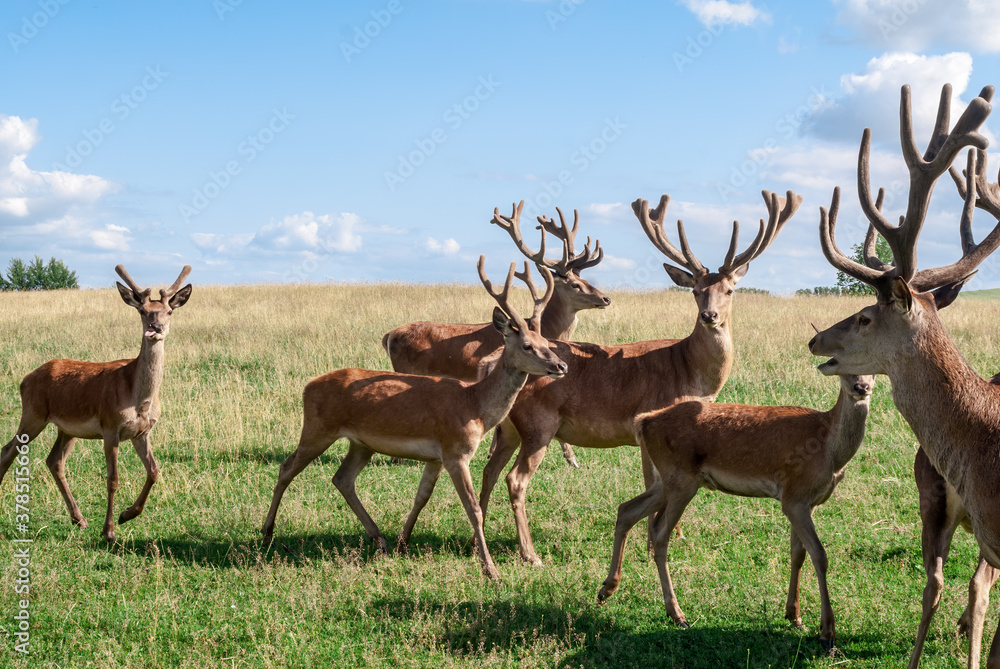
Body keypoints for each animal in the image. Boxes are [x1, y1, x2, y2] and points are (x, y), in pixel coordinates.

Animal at [0, 264, 193, 542]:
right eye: (143, 311)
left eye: (169, 311)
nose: (156, 327)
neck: (140, 399)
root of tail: (25, 379)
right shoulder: (110, 426)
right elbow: (113, 479)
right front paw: (109, 530)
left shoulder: (142, 432)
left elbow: (154, 471)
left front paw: (127, 515)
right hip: (33, 414)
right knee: (8, 450)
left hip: (66, 428)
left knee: (54, 460)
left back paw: (79, 519)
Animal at [261, 257, 568, 579]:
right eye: (527, 346)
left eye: (546, 341)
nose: (561, 366)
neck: (475, 406)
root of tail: (307, 386)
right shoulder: (455, 451)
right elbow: (473, 509)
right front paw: (491, 570)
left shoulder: (434, 457)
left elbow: (422, 496)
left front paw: (402, 542)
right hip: (317, 428)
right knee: (287, 467)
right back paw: (267, 532)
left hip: (361, 443)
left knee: (342, 478)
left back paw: (379, 538)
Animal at [382, 202, 607, 468]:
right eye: (575, 284)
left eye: (585, 279)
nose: (605, 298)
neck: (545, 327)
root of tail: (389, 335)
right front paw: (571, 458)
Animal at [479, 188, 801, 566]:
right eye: (695, 290)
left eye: (730, 290)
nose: (709, 315)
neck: (689, 372)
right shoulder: (649, 421)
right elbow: (652, 483)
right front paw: (655, 542)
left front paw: (674, 535)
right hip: (538, 424)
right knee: (515, 479)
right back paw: (530, 554)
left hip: (509, 427)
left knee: (489, 470)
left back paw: (479, 542)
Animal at [596, 372, 875, 652]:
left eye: (871, 369)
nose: (861, 387)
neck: (829, 450)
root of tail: (643, 422)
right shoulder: (794, 497)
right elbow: (819, 555)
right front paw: (827, 633)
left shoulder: (808, 502)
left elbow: (798, 553)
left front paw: (794, 616)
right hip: (680, 480)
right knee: (659, 533)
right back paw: (677, 615)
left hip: (667, 482)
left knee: (626, 509)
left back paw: (606, 590)